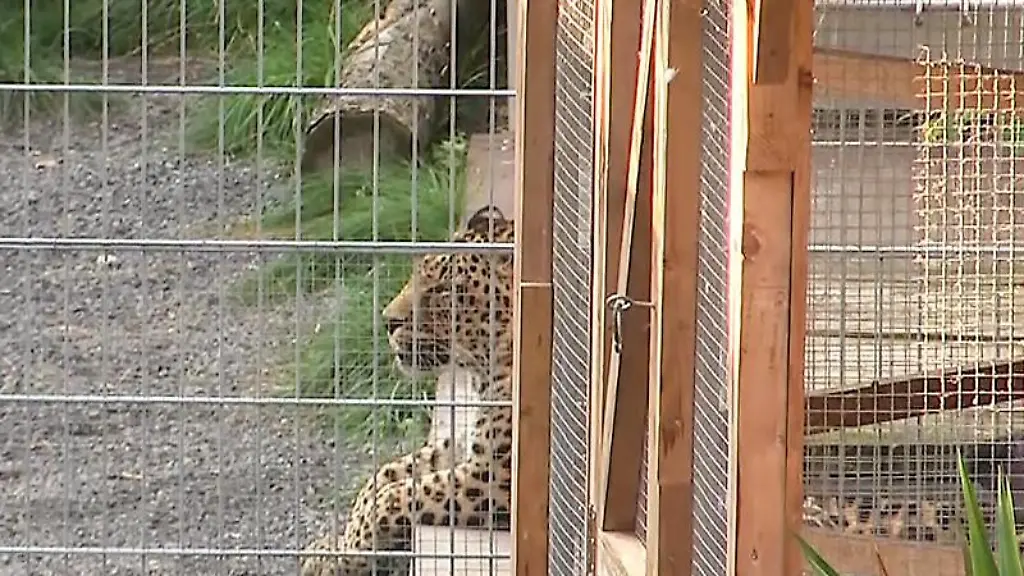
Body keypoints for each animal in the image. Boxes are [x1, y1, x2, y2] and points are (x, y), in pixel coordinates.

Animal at [301, 205, 516, 576]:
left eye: (444, 290)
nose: (388, 321)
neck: (480, 373)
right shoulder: (456, 446)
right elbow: (378, 480)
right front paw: (332, 549)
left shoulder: (490, 478)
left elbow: (389, 499)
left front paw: (341, 561)